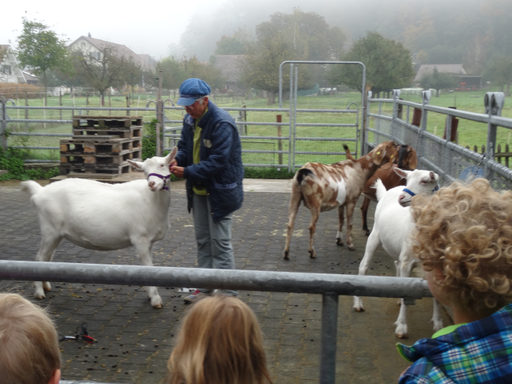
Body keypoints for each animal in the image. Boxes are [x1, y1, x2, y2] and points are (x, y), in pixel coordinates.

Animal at [20, 147, 178, 308]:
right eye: (144, 171)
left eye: (162, 165)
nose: (152, 184)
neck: (151, 201)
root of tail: (39, 191)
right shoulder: (140, 239)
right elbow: (148, 267)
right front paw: (156, 300)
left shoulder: (149, 241)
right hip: (49, 229)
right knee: (40, 257)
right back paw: (39, 292)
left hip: (56, 234)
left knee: (47, 257)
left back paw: (46, 286)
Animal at [352, 170, 444, 338]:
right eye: (407, 179)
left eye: (425, 181)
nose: (401, 198)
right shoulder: (407, 261)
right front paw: (401, 328)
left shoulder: (436, 264)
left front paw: (438, 324)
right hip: (375, 235)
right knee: (363, 266)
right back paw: (358, 304)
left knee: (396, 264)